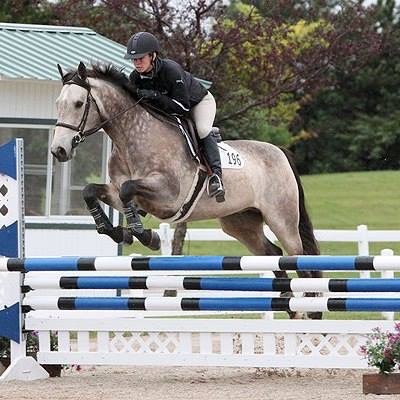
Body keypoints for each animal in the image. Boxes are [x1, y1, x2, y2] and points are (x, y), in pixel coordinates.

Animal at [51, 62, 324, 318]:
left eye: (78, 104)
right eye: (58, 104)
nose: (59, 150)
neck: (132, 137)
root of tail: (280, 151)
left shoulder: (168, 196)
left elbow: (129, 190)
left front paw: (145, 235)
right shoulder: (119, 193)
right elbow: (91, 191)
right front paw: (118, 232)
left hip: (281, 219)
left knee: (301, 260)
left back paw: (311, 311)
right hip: (240, 223)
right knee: (273, 253)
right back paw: (290, 305)